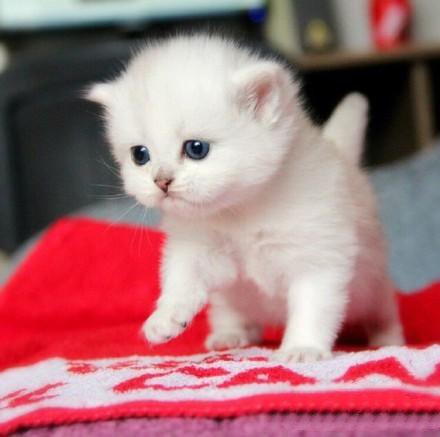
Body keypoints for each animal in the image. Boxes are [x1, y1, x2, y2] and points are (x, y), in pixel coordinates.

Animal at [87, 34, 403, 362]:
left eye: (196, 148)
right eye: (140, 155)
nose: (161, 182)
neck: (241, 209)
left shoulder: (319, 257)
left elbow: (313, 307)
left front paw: (302, 348)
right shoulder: (197, 247)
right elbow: (181, 278)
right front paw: (166, 317)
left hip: (371, 284)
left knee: (384, 308)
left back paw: (388, 339)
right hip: (232, 297)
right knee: (233, 312)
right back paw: (231, 334)